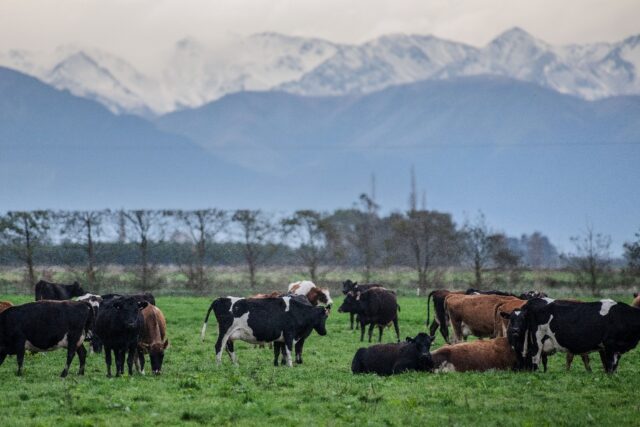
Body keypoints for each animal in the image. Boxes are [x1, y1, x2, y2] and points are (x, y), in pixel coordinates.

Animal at [201, 294, 330, 368]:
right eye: (324, 317)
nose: (324, 332)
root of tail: (220, 299)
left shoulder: (282, 338)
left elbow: (281, 351)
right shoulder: (289, 334)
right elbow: (289, 350)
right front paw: (290, 366)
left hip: (230, 334)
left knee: (228, 347)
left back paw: (236, 365)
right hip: (225, 331)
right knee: (219, 346)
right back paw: (219, 365)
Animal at [512, 298, 640, 374]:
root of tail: (534, 300)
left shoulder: (616, 348)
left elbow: (614, 365)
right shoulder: (609, 345)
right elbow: (610, 365)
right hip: (537, 340)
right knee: (535, 358)